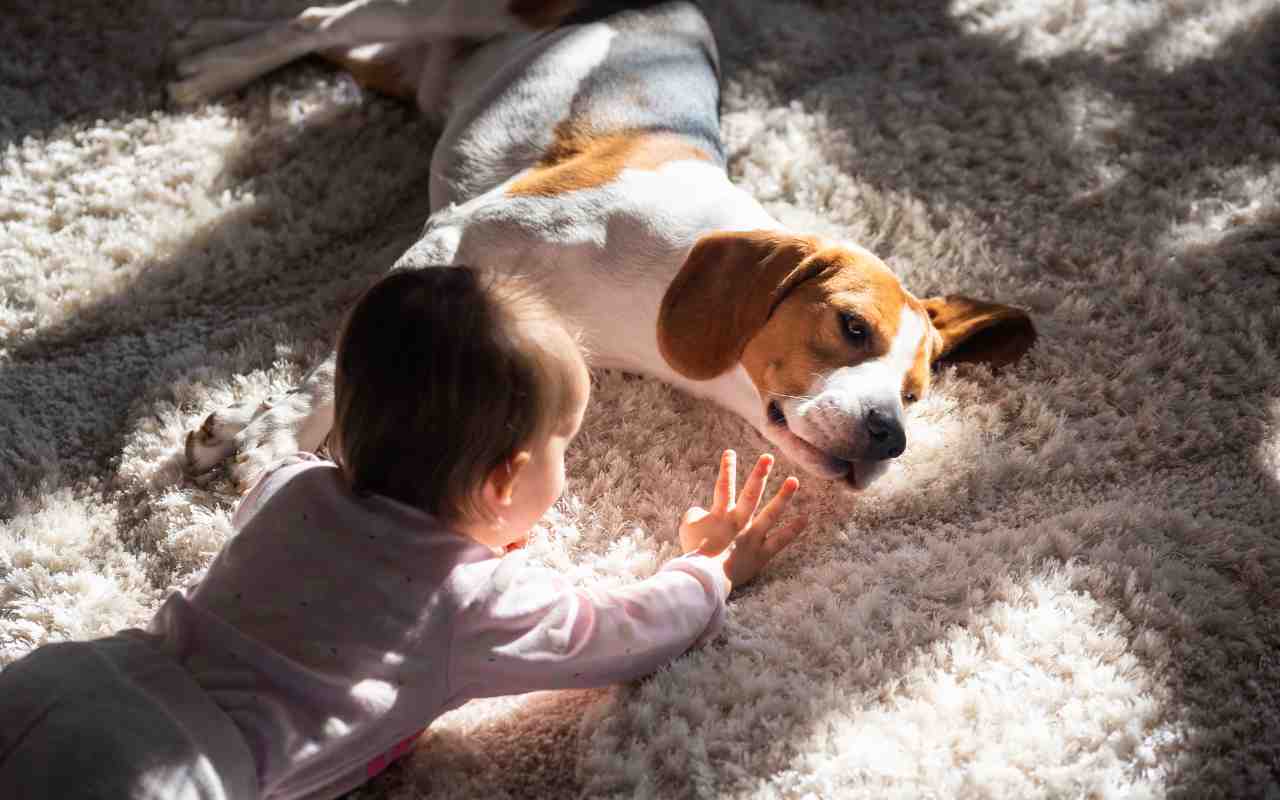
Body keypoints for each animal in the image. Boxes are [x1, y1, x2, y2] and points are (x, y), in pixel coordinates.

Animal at [172, 0, 1029, 488]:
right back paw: (209, 70)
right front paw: (274, 438)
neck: (661, 280)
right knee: (317, 16)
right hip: (438, 9)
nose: (892, 437)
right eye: (851, 327)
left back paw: (210, 42)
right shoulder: (453, 237)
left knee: (321, 28)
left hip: (408, 68)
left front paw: (243, 428)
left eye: (915, 395)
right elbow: (333, 374)